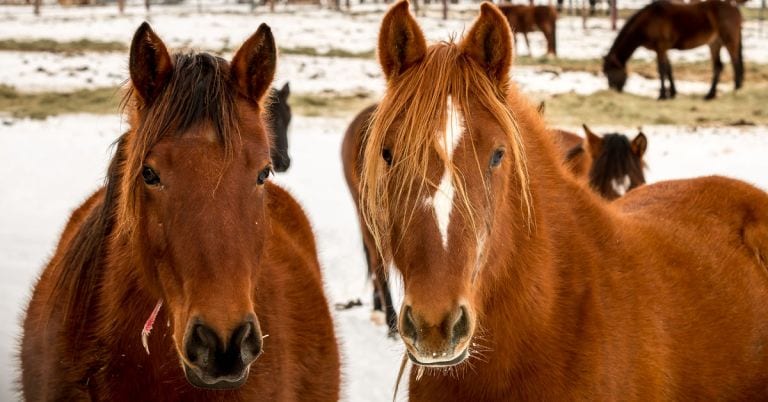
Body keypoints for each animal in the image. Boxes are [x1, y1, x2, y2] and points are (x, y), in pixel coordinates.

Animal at [603, 0, 743, 100]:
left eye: (610, 71)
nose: (613, 90)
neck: (648, 20)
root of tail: (734, 7)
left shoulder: (660, 47)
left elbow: (661, 69)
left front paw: (662, 95)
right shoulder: (662, 49)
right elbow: (668, 69)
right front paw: (672, 93)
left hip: (729, 40)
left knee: (735, 63)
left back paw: (736, 90)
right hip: (714, 43)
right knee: (718, 66)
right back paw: (710, 95)